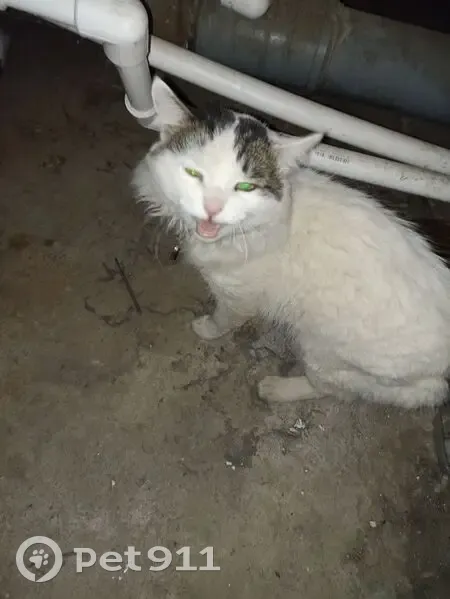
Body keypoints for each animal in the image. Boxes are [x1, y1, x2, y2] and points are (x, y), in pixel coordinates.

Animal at [132, 76, 450, 408]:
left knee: (336, 390)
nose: (212, 208)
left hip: (324, 352)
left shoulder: (238, 298)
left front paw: (207, 328)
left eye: (245, 187)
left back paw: (277, 388)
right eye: (194, 173)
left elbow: (224, 319)